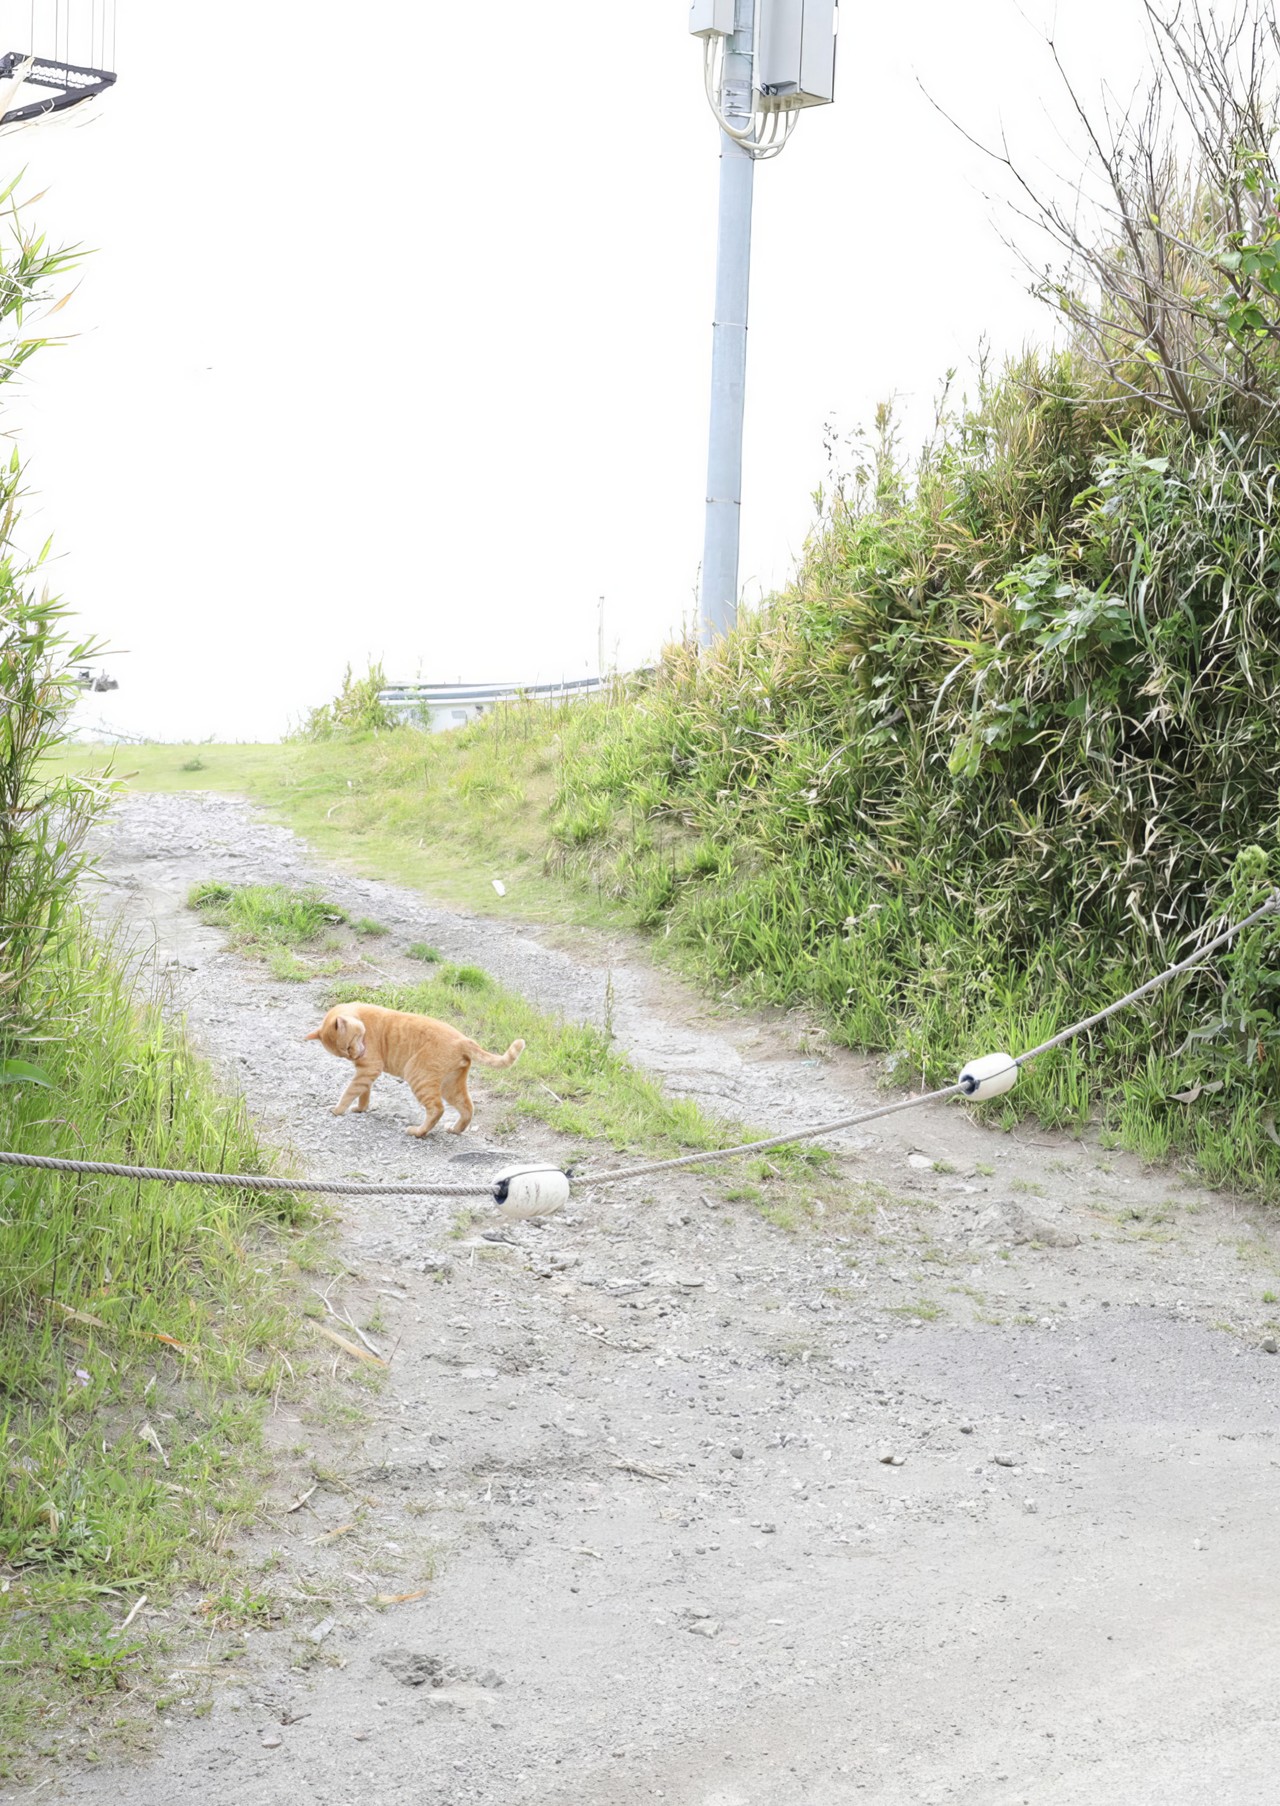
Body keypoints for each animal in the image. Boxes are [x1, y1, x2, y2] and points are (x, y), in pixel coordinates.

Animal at [305, 996, 523, 1134]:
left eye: (348, 1046)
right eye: (343, 1054)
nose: (354, 1055)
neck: (362, 1016)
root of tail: (463, 1039)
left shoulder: (369, 1068)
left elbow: (350, 1091)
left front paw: (338, 1110)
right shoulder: (364, 1071)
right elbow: (363, 1093)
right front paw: (361, 1108)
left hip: (418, 1076)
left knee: (437, 1109)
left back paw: (418, 1132)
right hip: (451, 1085)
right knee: (467, 1107)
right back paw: (454, 1130)